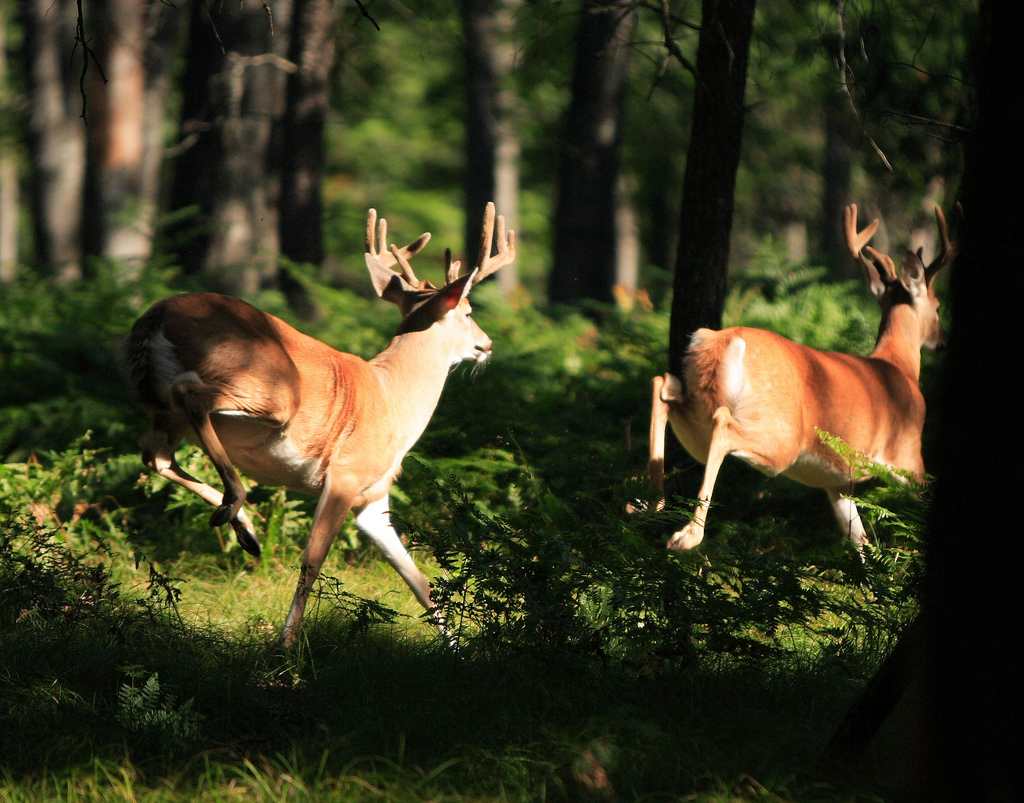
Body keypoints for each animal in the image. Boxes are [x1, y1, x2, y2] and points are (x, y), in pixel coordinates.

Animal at [124, 202, 516, 647]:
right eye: (468, 311)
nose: (486, 344)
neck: (394, 399)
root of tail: (157, 315)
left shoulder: (372, 496)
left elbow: (418, 580)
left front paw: (456, 647)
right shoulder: (346, 474)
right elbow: (312, 560)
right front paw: (286, 643)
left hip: (165, 411)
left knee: (155, 456)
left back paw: (246, 530)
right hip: (270, 392)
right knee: (190, 398)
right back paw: (235, 504)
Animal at [634, 203, 954, 548]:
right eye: (938, 307)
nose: (944, 341)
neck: (901, 367)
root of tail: (720, 341)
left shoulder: (838, 482)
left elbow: (860, 543)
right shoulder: (910, 456)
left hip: (697, 419)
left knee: (663, 388)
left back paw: (650, 506)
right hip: (780, 439)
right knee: (724, 425)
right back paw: (688, 534)